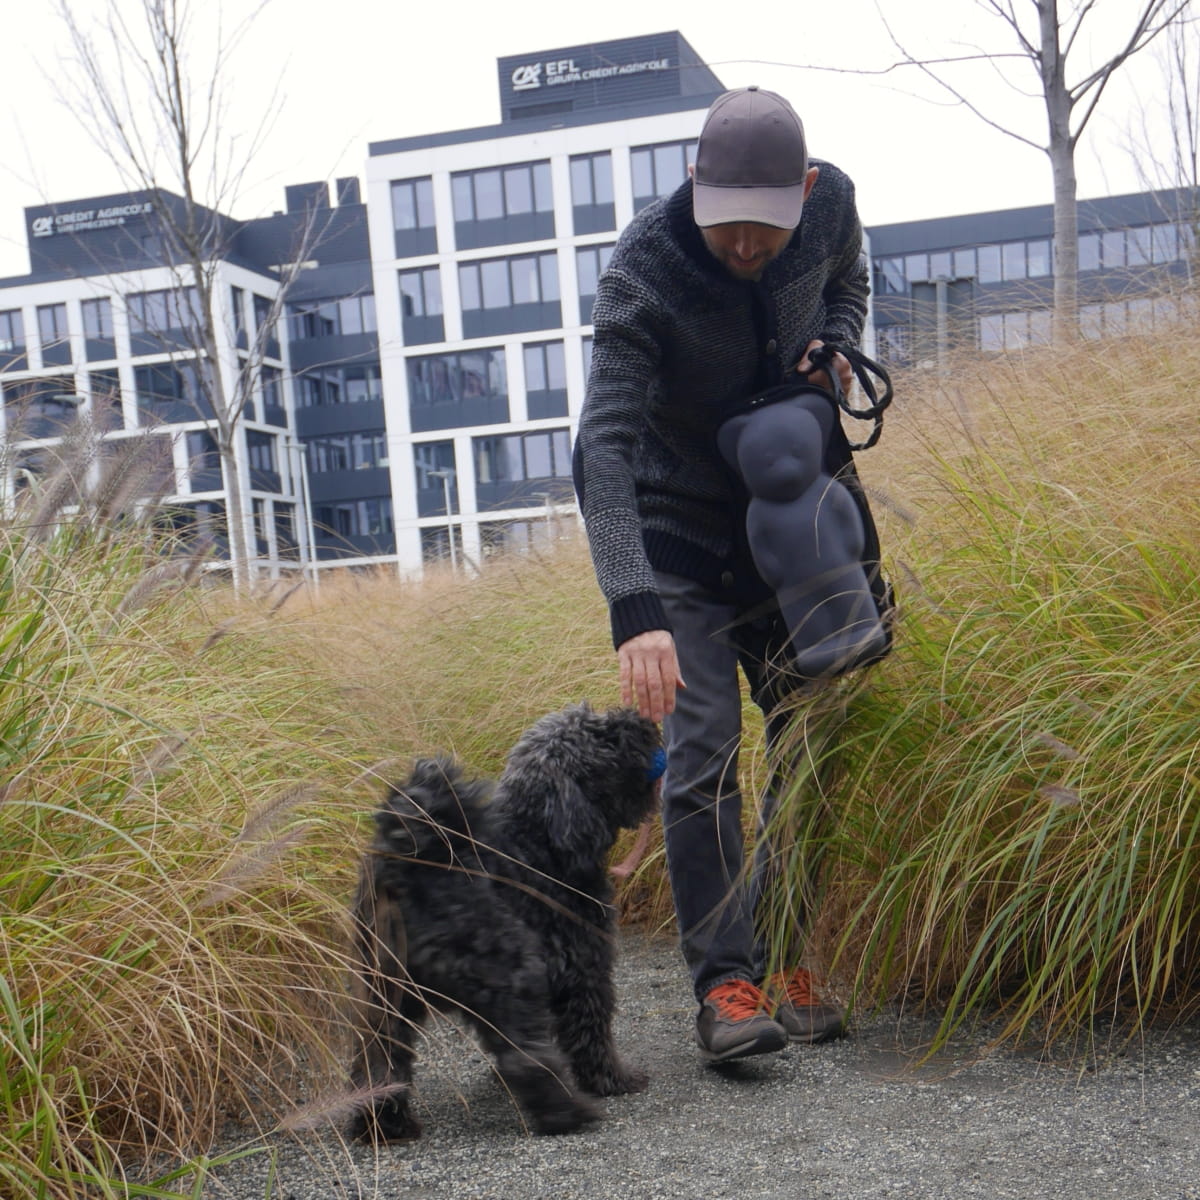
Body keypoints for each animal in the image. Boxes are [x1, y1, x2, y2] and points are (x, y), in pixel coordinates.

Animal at [346, 702, 664, 1140]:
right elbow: (591, 1033)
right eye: (604, 737)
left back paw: (385, 1124)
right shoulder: (585, 968)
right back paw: (568, 1113)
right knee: (525, 1059)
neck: (539, 840)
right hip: (509, 973)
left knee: (378, 1060)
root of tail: (413, 858)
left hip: (385, 994)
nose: (642, 718)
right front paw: (613, 1080)